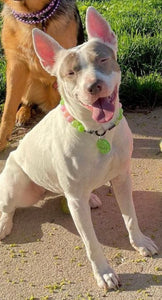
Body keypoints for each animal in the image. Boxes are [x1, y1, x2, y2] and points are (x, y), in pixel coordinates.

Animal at [0, 0, 83, 150]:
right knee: (26, 101)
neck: (33, 16)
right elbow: (8, 111)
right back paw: (23, 113)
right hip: (28, 83)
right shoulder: (16, 66)